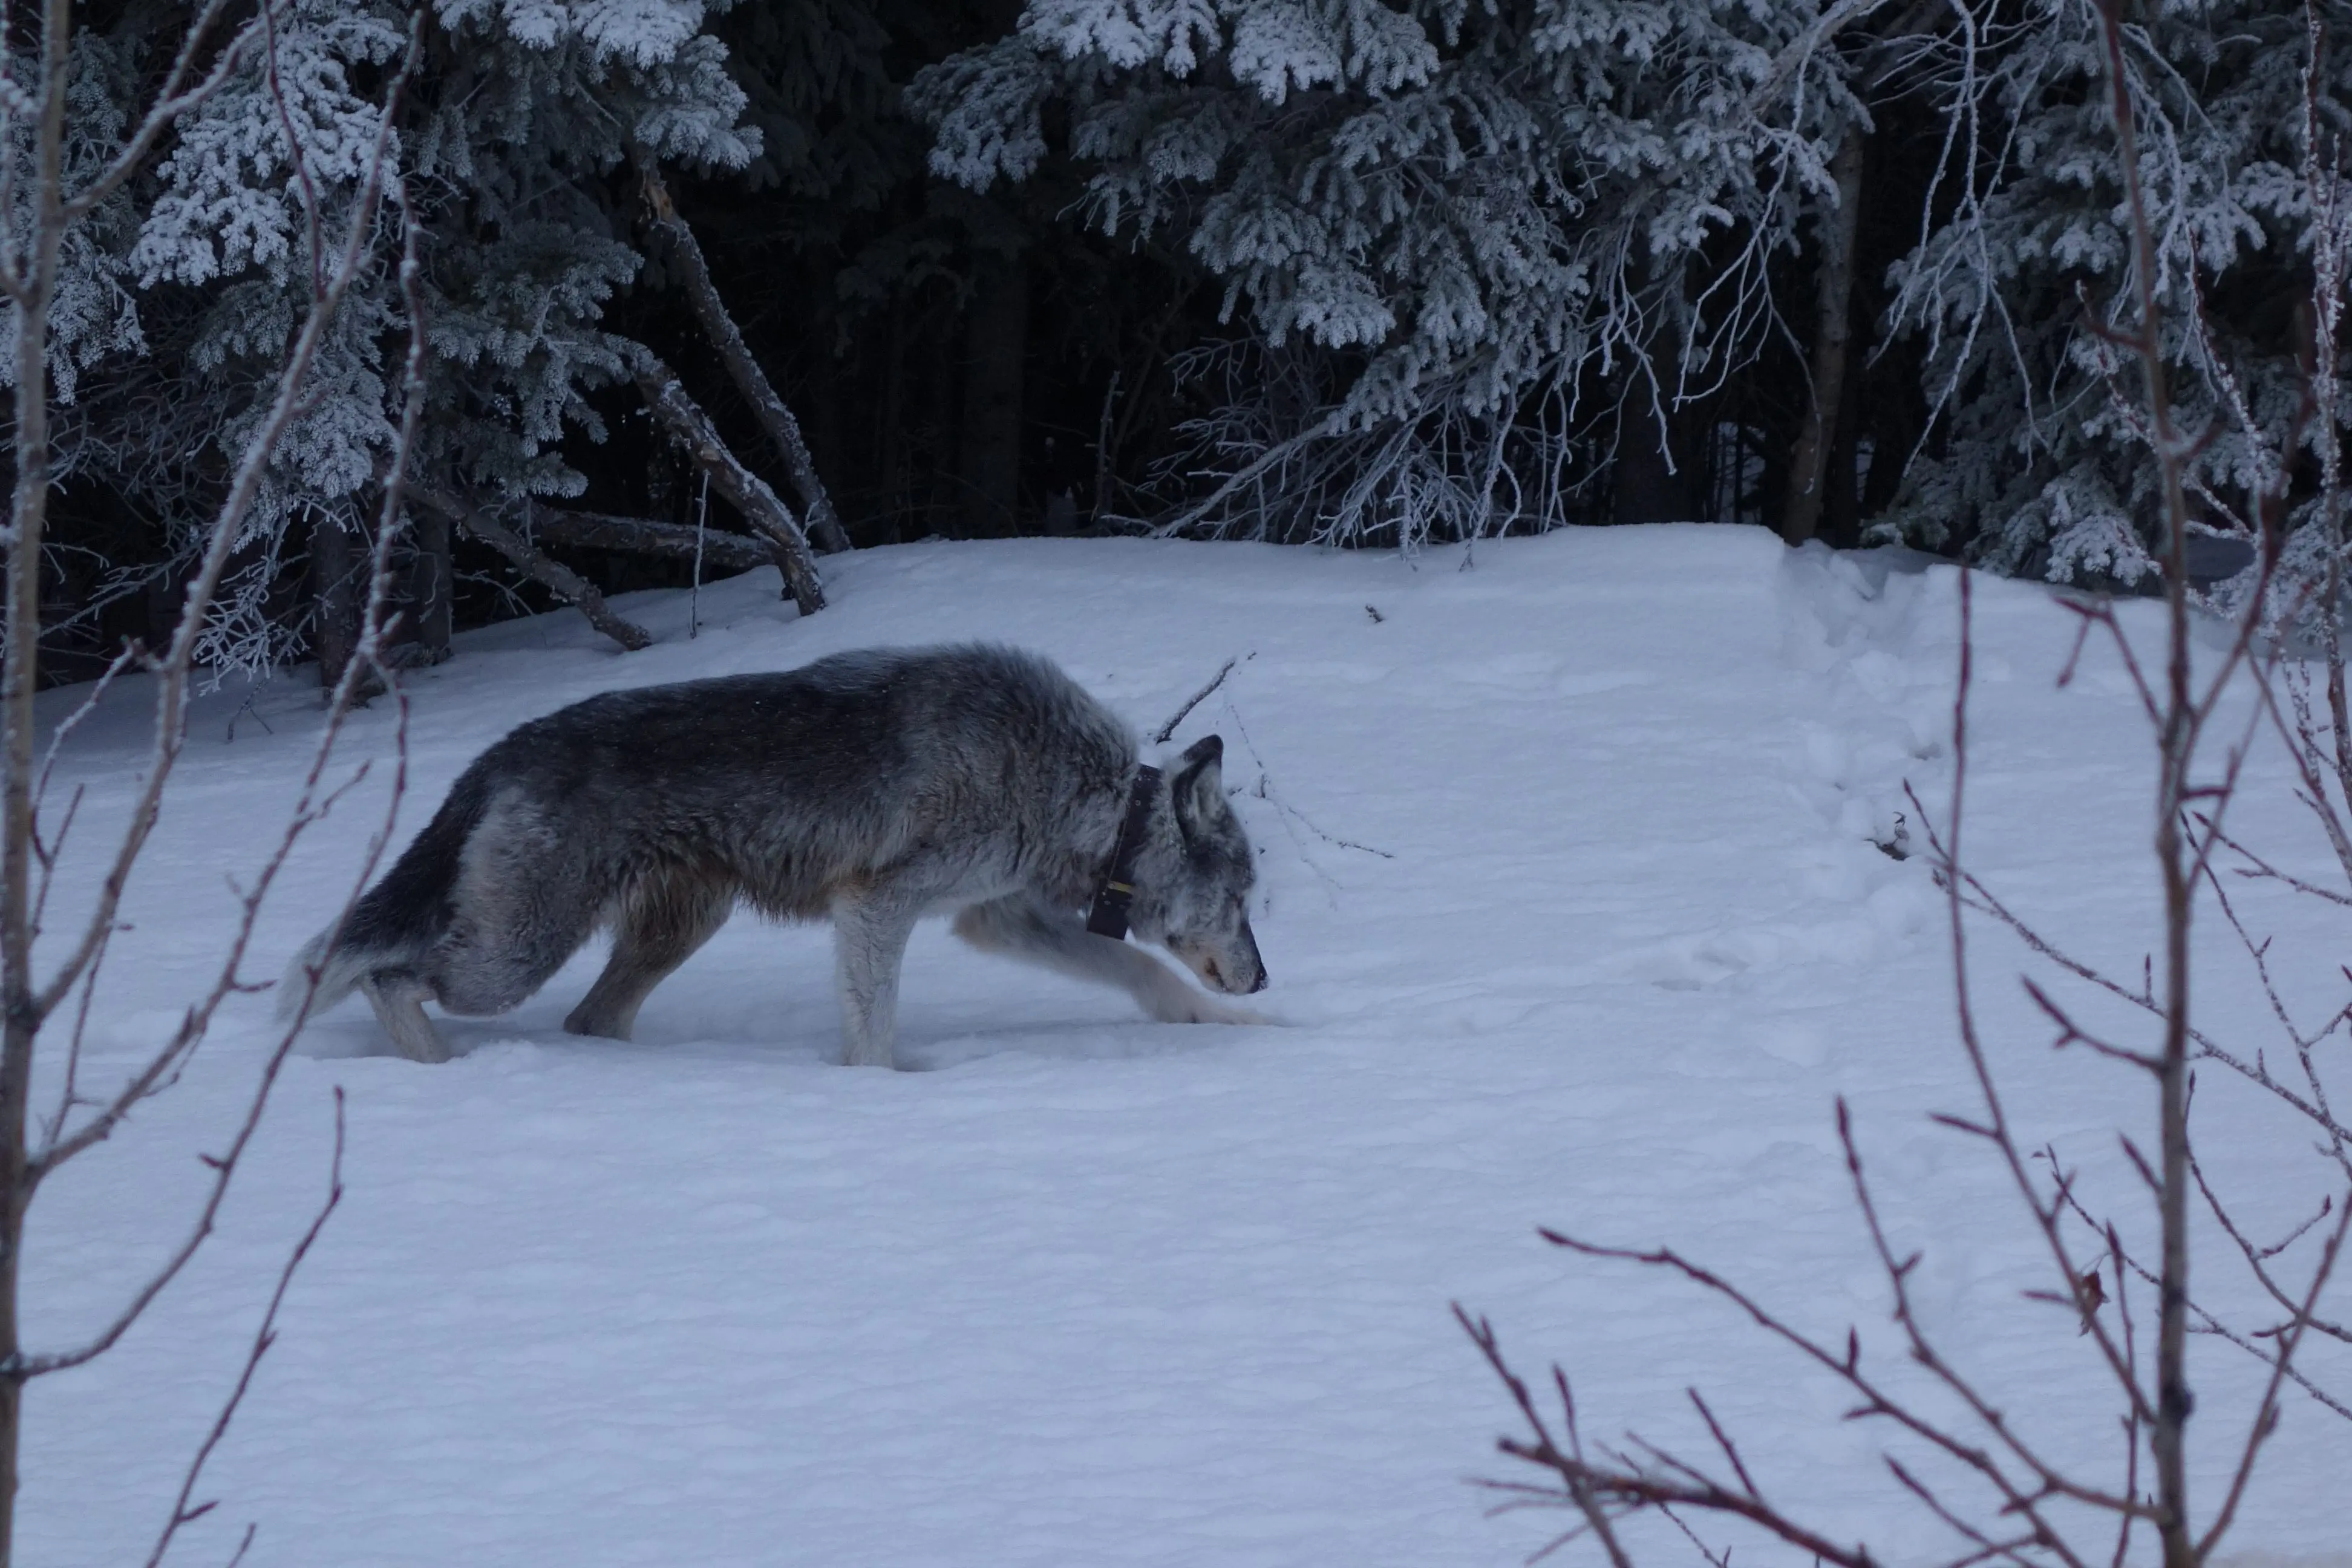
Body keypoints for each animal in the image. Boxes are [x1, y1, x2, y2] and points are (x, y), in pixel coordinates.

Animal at [282, 644, 1269, 1068]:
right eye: (1244, 901)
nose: (1262, 978)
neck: (1078, 789)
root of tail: (499, 752)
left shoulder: (996, 915)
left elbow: (1140, 972)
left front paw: (1217, 1025)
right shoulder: (876, 906)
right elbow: (872, 1036)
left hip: (675, 929)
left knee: (588, 1021)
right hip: (512, 959)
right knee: (379, 974)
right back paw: (437, 1070)